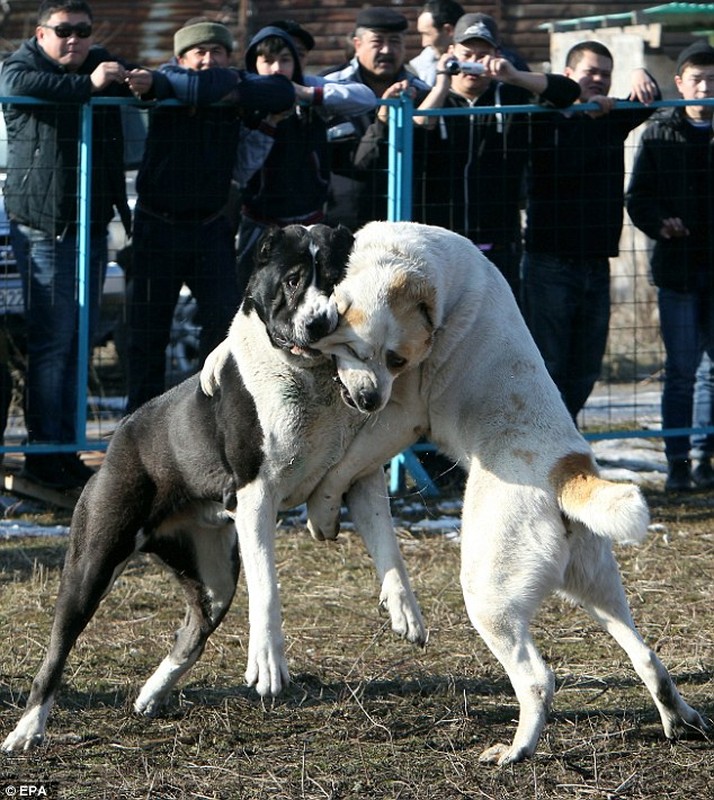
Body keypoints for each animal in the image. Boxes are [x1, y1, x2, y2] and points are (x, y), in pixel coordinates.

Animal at [1, 223, 422, 752]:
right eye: (292, 281)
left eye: (335, 282)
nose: (320, 322)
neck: (312, 382)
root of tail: (120, 436)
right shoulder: (257, 495)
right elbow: (267, 586)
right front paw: (268, 661)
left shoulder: (358, 477)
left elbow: (389, 546)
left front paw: (405, 610)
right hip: (91, 565)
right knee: (57, 652)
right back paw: (27, 729)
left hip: (213, 578)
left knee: (192, 630)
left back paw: (151, 693)